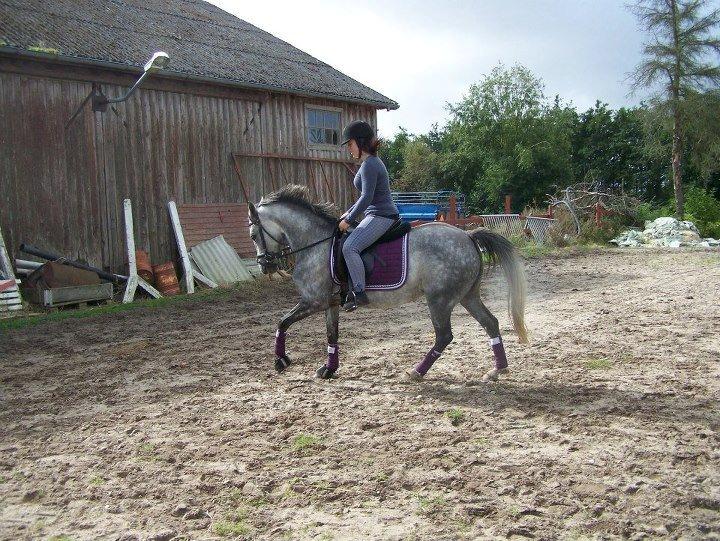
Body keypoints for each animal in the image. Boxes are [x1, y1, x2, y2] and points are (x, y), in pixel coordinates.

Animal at [249, 185, 528, 380]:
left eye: (253, 234)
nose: (264, 265)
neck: (316, 243)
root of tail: (468, 236)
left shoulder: (313, 301)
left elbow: (282, 322)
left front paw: (281, 361)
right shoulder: (331, 303)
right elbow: (331, 335)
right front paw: (329, 369)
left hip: (440, 300)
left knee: (444, 336)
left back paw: (417, 372)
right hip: (467, 296)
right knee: (490, 323)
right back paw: (498, 370)